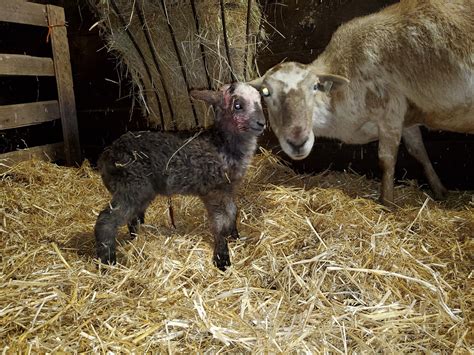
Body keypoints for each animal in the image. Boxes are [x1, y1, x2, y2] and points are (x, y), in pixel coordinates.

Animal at [94, 82, 264, 270]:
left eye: (260, 100)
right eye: (237, 105)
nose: (262, 123)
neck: (222, 143)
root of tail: (106, 155)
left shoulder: (228, 189)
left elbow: (233, 213)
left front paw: (235, 237)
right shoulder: (213, 191)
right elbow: (220, 223)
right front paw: (222, 259)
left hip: (142, 191)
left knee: (133, 218)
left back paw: (134, 241)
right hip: (131, 186)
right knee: (106, 220)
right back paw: (107, 263)